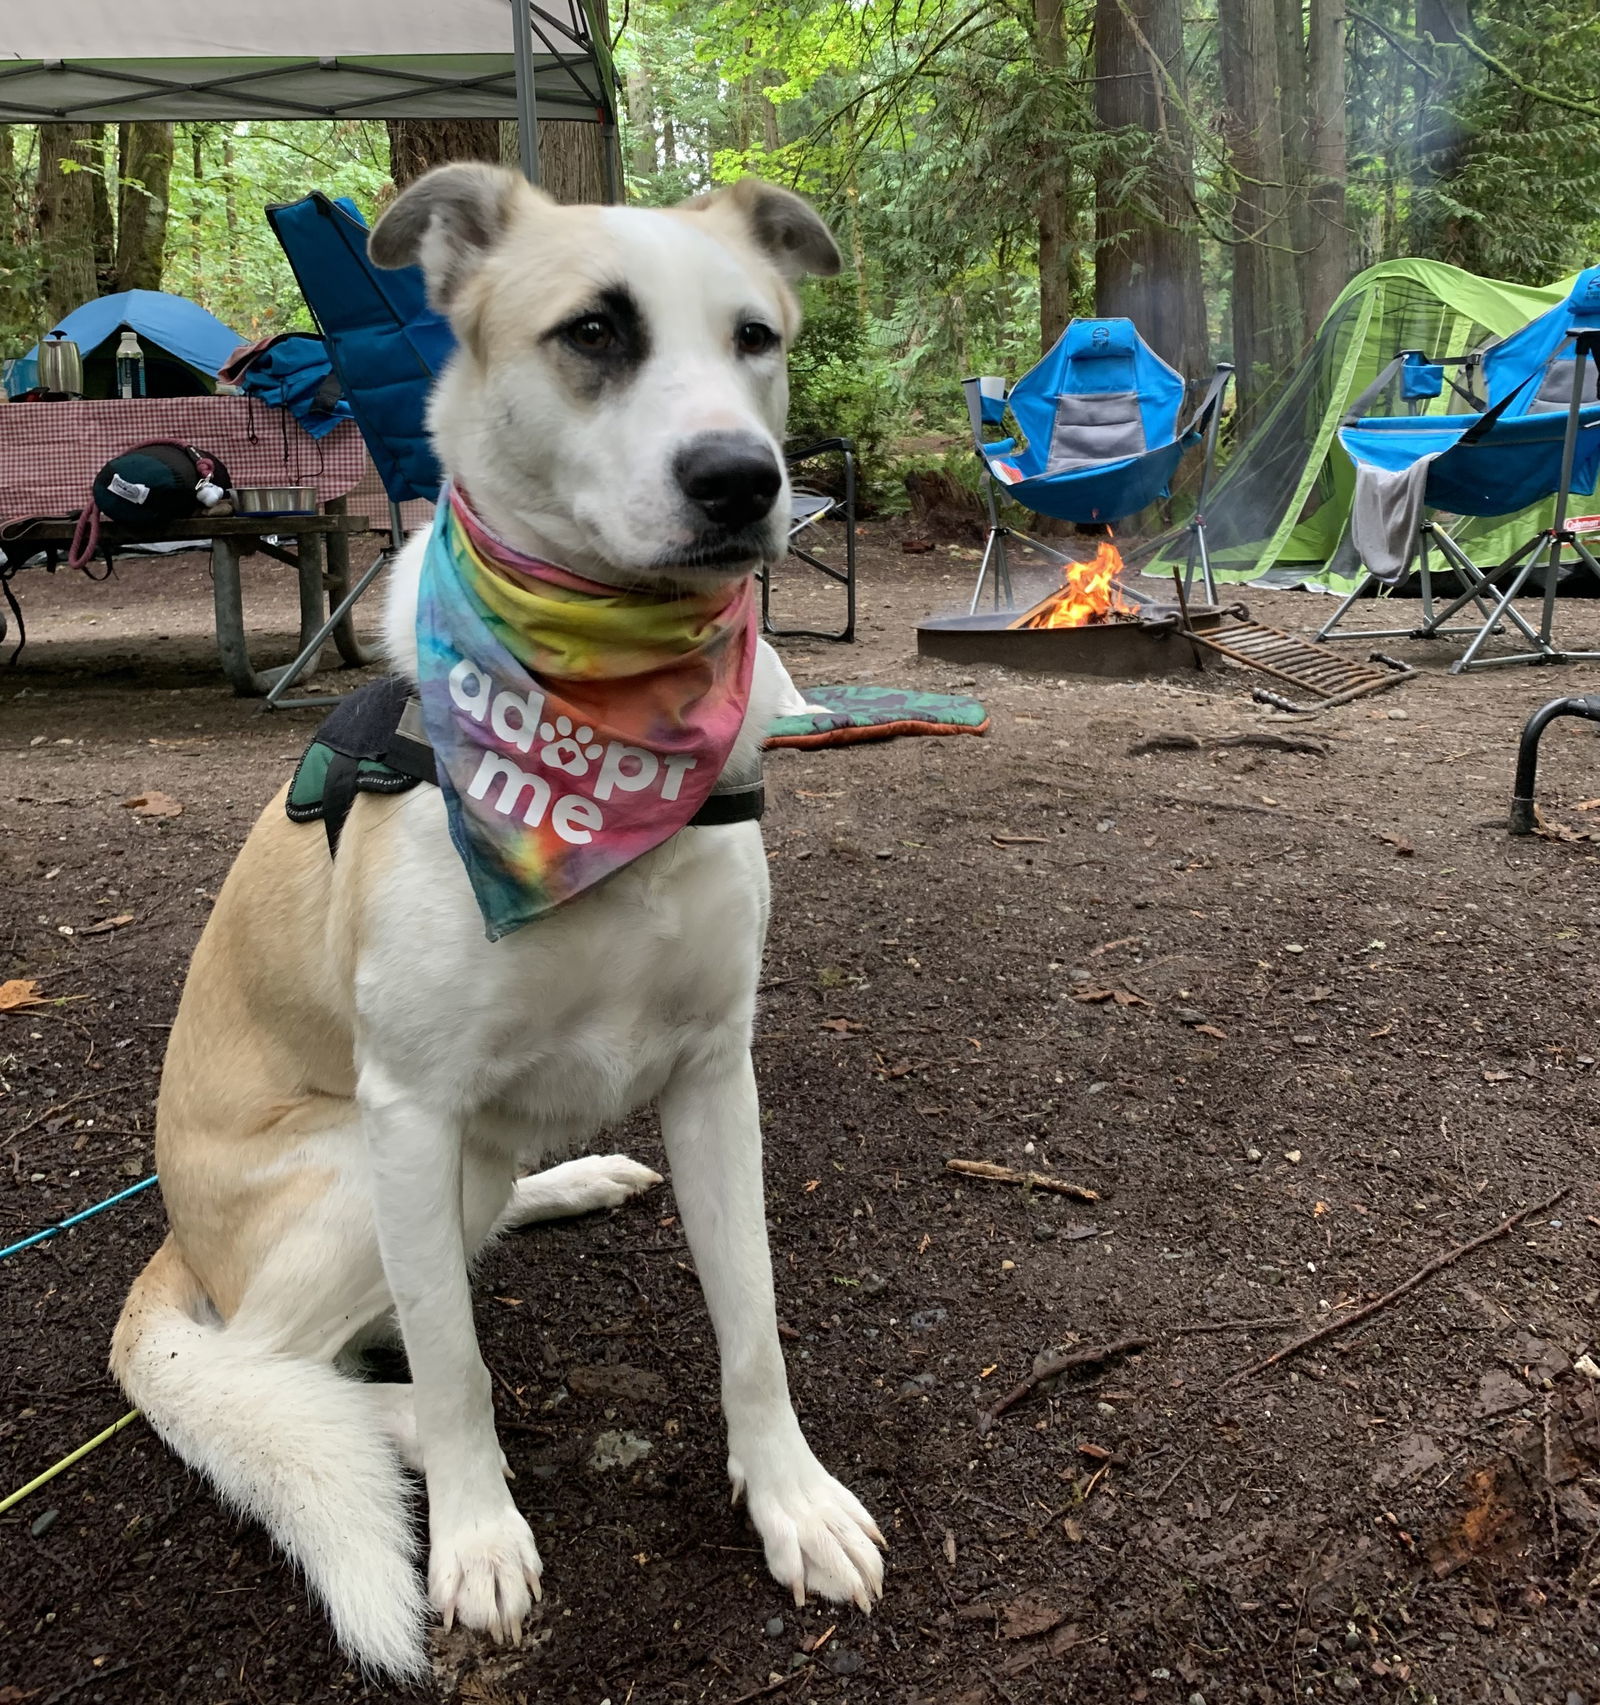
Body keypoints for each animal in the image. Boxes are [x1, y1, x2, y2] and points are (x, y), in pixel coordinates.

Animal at [109, 169, 886, 1677]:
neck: (602, 725)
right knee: (288, 1362)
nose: (742, 480)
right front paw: (477, 1536)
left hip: (464, 1158)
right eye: (593, 331)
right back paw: (391, 1422)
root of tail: (176, 1238)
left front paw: (792, 1499)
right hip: (365, 1173)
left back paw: (571, 1183)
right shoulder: (410, 1107)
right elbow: (456, 1356)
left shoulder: (717, 1075)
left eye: (756, 336)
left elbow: (752, 1323)